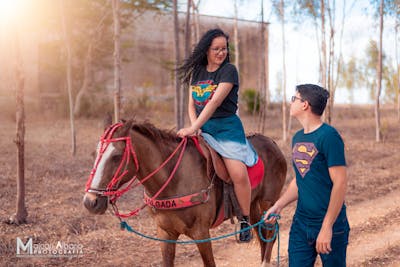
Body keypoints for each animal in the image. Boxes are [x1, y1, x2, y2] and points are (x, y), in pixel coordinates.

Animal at [83, 120, 286, 266]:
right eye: (95, 153)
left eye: (116, 156)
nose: (90, 202)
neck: (173, 179)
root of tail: (272, 143)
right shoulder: (165, 234)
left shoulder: (201, 233)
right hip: (252, 204)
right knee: (261, 234)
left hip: (268, 202)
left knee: (270, 234)